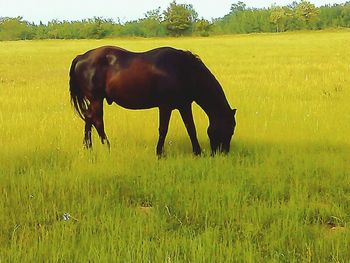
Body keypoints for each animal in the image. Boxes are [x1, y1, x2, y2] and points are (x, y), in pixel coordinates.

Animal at [69, 45, 237, 157]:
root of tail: (81, 57)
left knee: (88, 118)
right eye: (230, 128)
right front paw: (159, 153)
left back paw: (88, 147)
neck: (183, 69)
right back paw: (108, 148)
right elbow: (163, 129)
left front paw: (197, 152)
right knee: (98, 121)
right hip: (96, 99)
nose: (224, 153)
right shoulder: (165, 106)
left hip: (93, 100)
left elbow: (191, 128)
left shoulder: (184, 105)